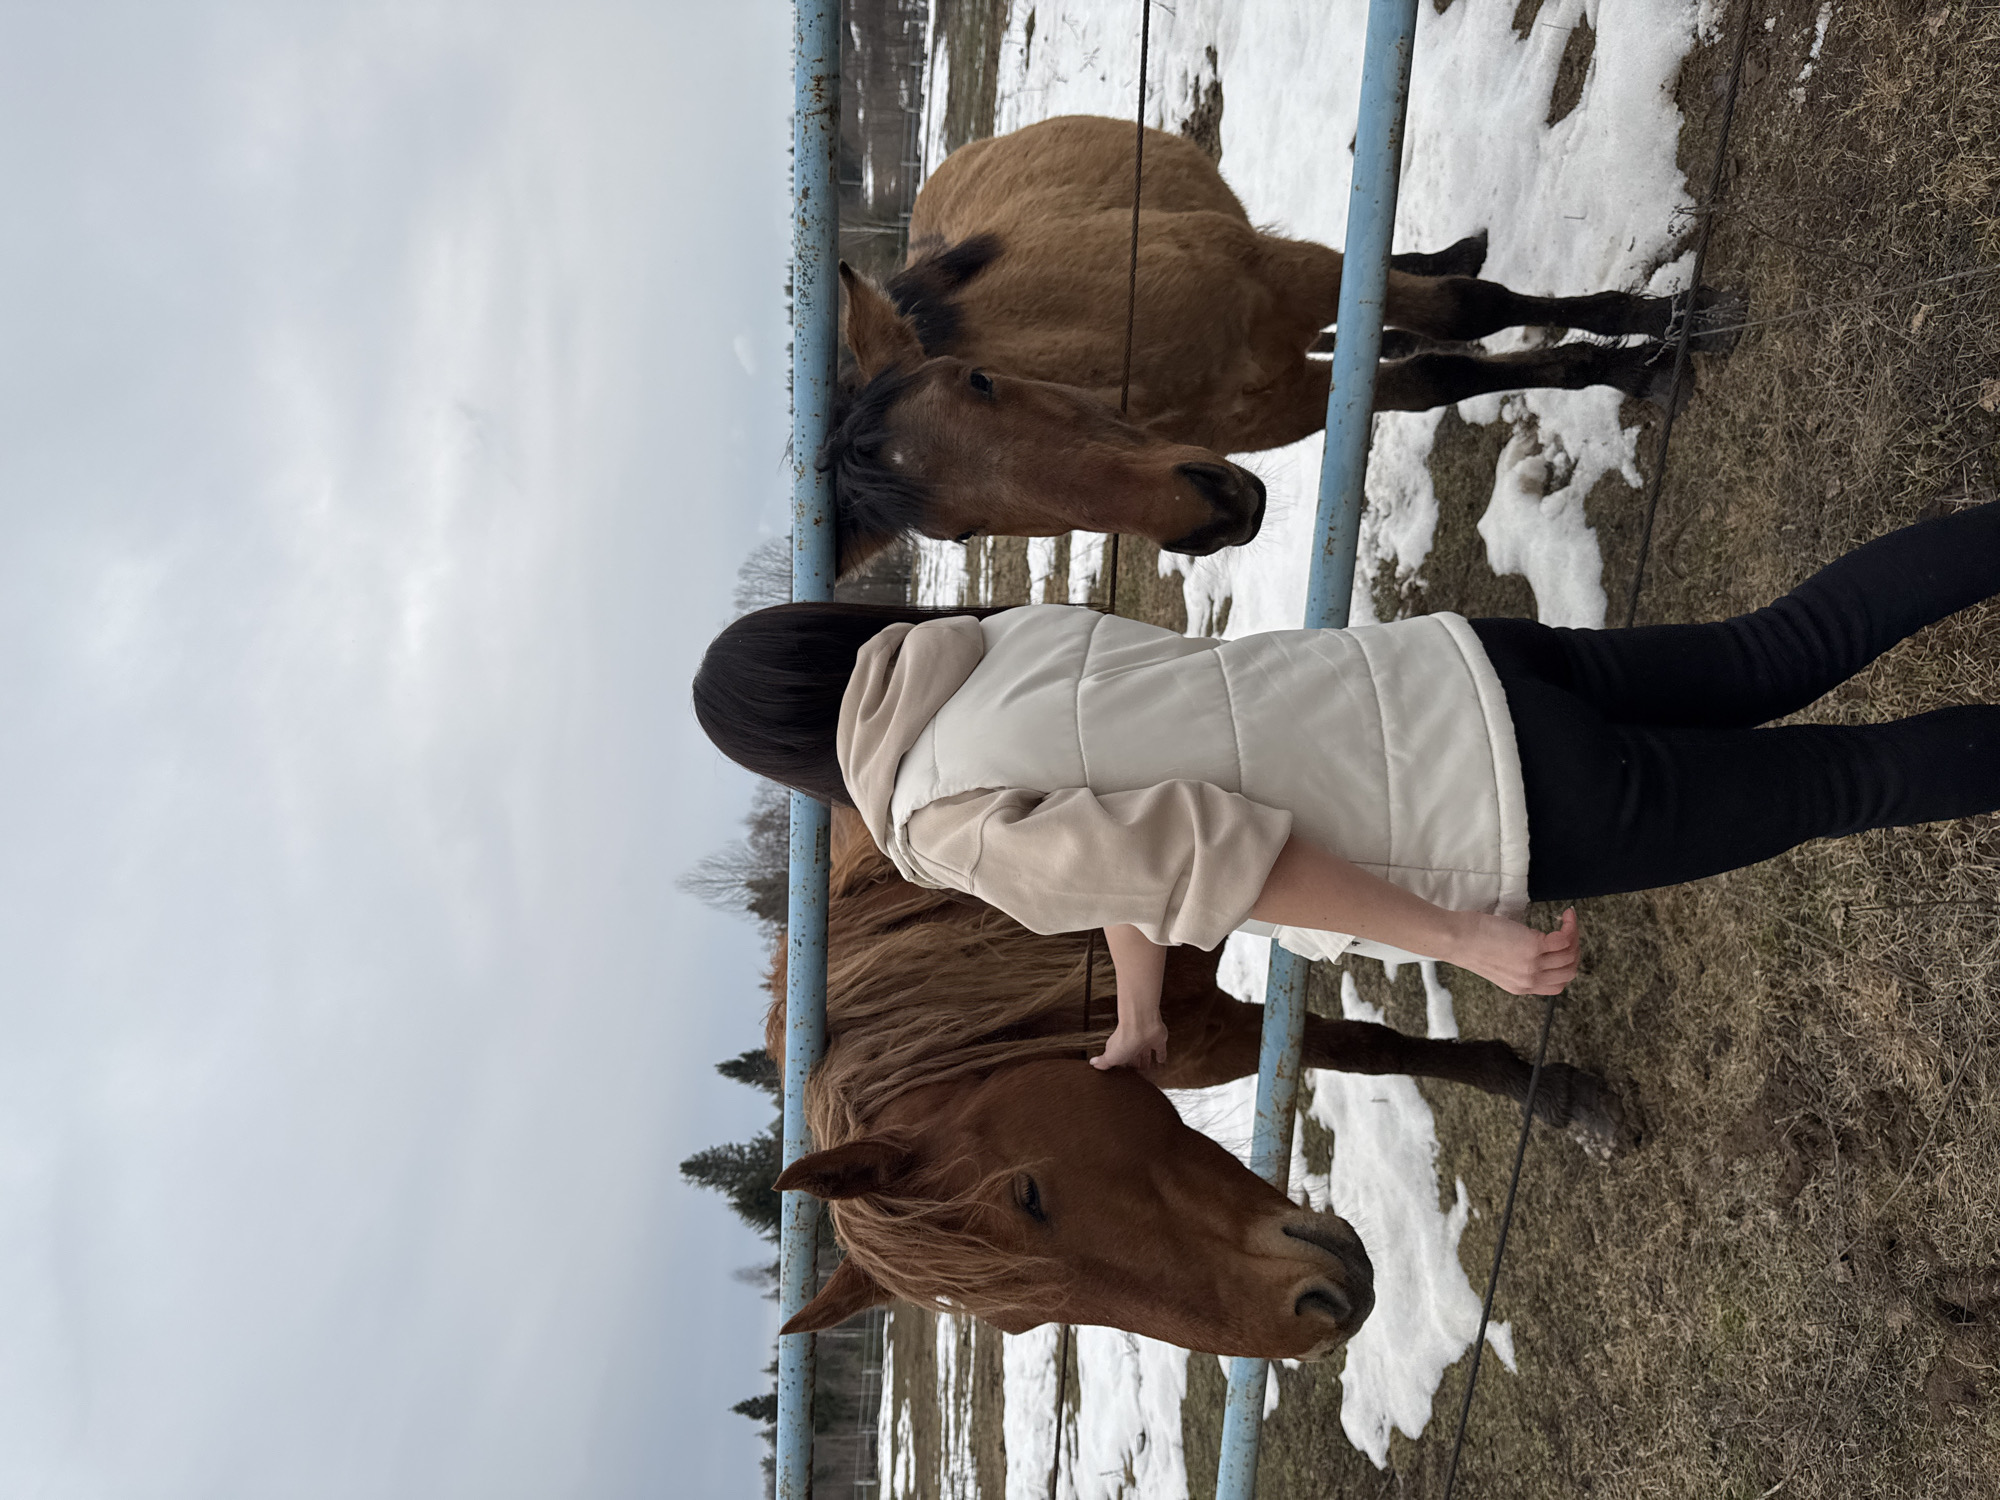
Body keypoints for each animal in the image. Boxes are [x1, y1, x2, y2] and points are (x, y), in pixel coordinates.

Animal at [767, 809, 1634, 1359]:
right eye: (1020, 1323)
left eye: (1030, 1197)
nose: (1317, 1319)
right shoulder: (1197, 1040)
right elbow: (1362, 1049)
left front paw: (1559, 1093)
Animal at [827, 113, 1733, 572]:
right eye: (958, 534)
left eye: (979, 381)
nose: (1214, 517)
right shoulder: (1298, 397)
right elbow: (1438, 373)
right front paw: (1627, 362)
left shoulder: (1291, 277)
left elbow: (1467, 313)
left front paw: (1664, 332)